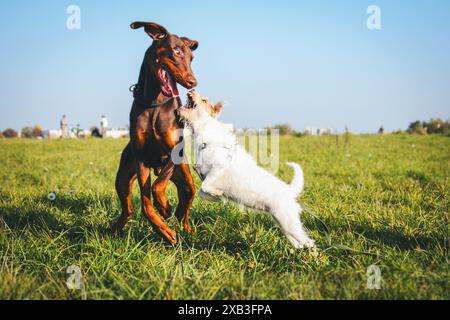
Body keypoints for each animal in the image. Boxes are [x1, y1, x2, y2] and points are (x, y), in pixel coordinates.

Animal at [111, 21, 199, 245]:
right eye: (176, 51)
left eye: (191, 58)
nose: (193, 82)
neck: (154, 102)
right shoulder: (141, 159)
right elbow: (146, 204)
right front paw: (165, 230)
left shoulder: (173, 152)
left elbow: (158, 187)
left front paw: (165, 207)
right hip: (123, 176)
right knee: (128, 209)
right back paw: (113, 229)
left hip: (185, 177)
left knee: (185, 203)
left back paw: (185, 226)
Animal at [178, 91, 314, 249]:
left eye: (204, 100)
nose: (191, 90)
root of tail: (289, 190)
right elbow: (202, 192)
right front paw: (215, 196)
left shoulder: (219, 167)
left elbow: (205, 185)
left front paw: (216, 193)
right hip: (284, 225)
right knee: (300, 243)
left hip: (288, 222)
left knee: (310, 243)